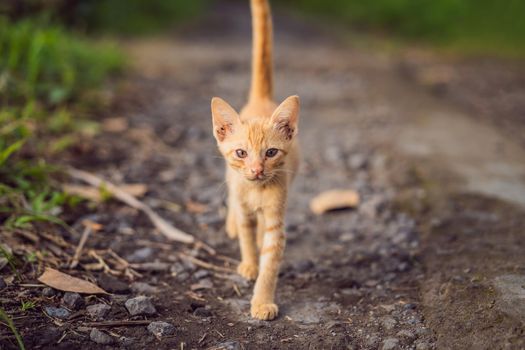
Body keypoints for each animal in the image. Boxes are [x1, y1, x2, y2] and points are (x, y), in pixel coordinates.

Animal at [210, 0, 298, 320]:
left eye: (270, 153)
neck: (257, 191)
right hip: (229, 179)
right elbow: (246, 235)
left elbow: (270, 264)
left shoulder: (276, 219)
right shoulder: (243, 199)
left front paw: (262, 300)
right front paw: (249, 263)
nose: (257, 170)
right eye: (241, 153)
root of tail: (261, 100)